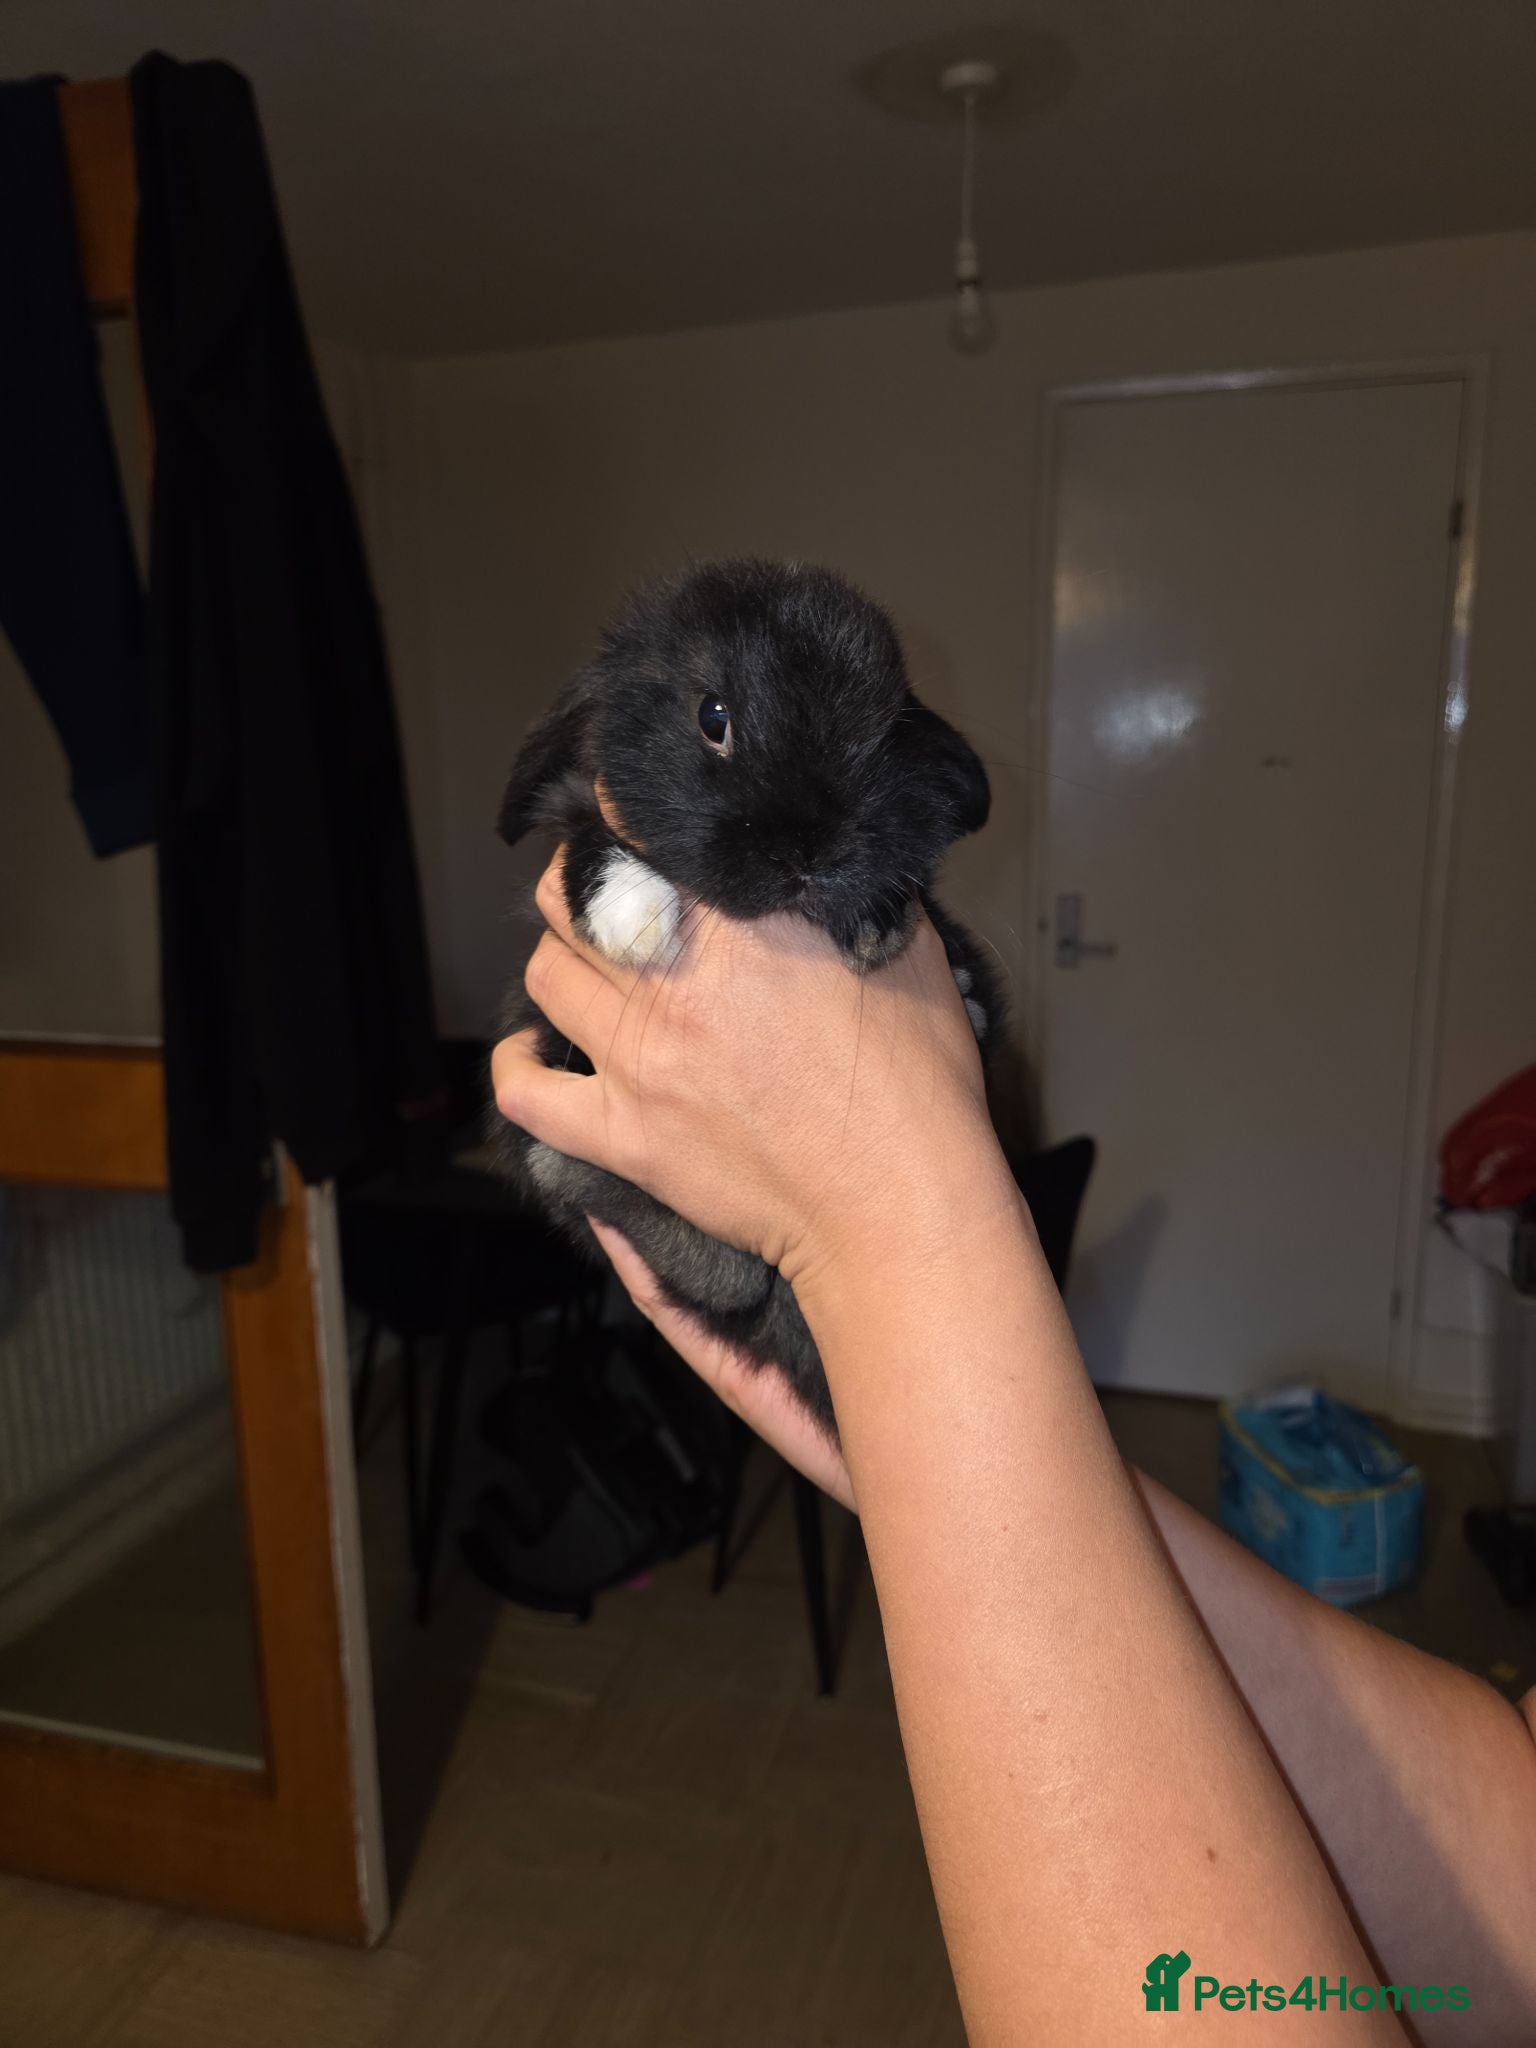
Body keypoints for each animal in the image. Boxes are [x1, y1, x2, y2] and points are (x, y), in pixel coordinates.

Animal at [493, 558, 1003, 1436]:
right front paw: (633, 912)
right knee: (713, 1269)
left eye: (886, 732)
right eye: (713, 715)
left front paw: (876, 917)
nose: (810, 851)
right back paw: (570, 1166)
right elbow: (585, 827)